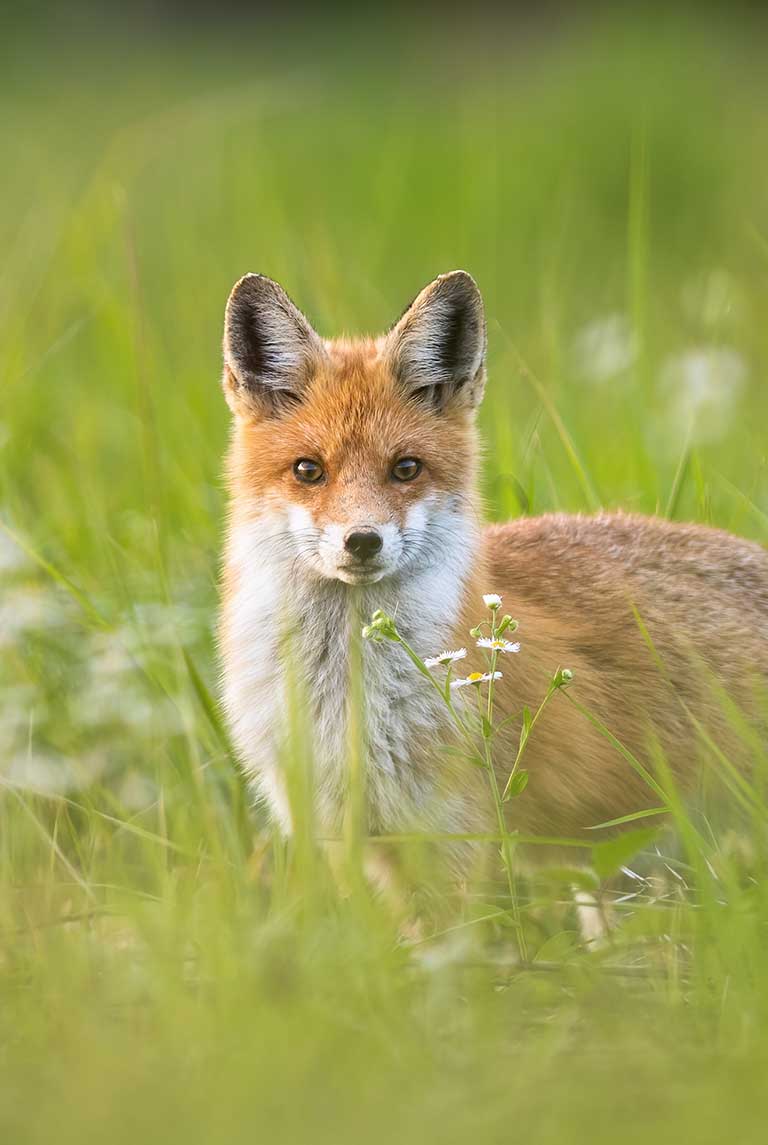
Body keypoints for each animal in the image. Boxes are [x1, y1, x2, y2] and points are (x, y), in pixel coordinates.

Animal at [219, 267, 768, 911]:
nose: (362, 541)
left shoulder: (455, 843)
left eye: (406, 469)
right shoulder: (349, 843)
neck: (350, 710)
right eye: (309, 470)